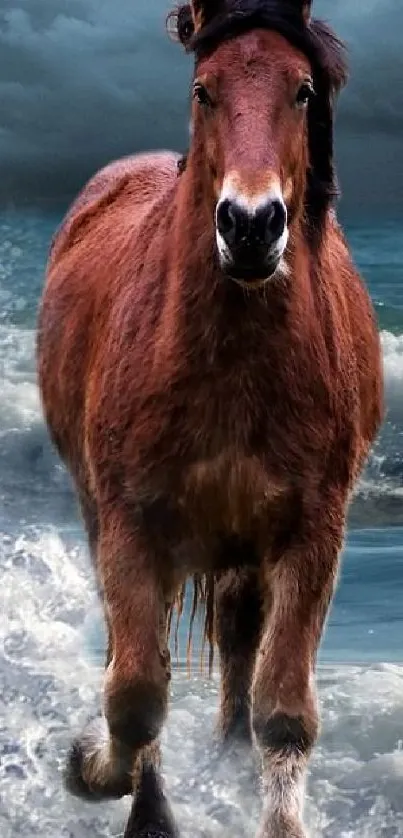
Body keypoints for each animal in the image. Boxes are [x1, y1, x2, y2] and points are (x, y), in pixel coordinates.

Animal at [36, 1, 384, 838]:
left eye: (301, 90)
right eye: (204, 89)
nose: (250, 225)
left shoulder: (311, 535)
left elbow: (282, 711)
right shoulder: (132, 527)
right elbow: (135, 695)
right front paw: (93, 774)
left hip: (243, 551)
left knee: (236, 651)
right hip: (107, 517)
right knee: (140, 656)